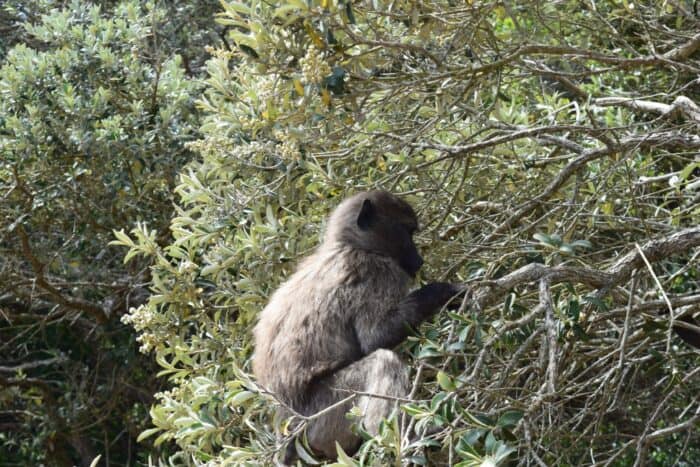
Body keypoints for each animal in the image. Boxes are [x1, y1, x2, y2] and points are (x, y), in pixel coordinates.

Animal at [252, 190, 463, 462]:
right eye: (407, 231)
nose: (419, 260)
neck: (350, 244)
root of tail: (288, 420)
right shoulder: (379, 272)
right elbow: (376, 338)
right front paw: (445, 292)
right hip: (325, 416)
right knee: (384, 362)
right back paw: (399, 441)